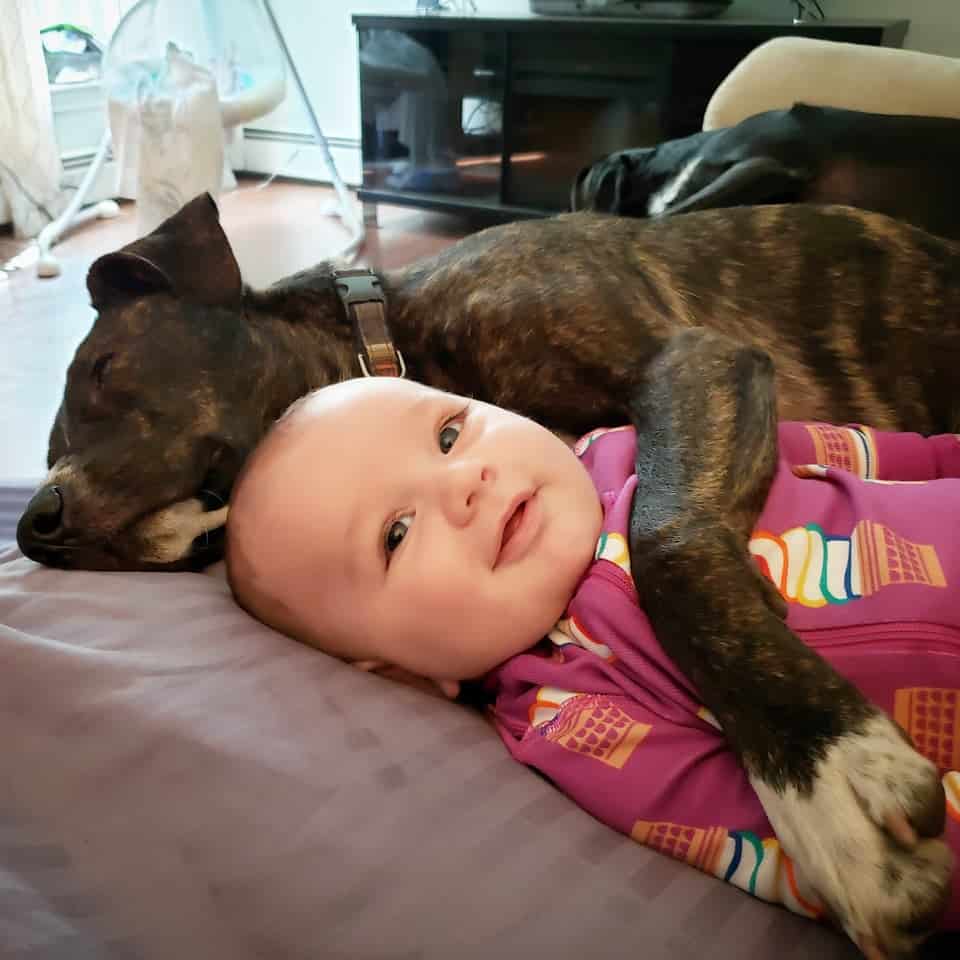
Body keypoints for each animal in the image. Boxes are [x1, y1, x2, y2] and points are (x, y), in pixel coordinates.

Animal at [13, 193, 960, 952]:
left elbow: (664, 537)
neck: (391, 331)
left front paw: (820, 768)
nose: (34, 524)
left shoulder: (693, 360)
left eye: (102, 370)